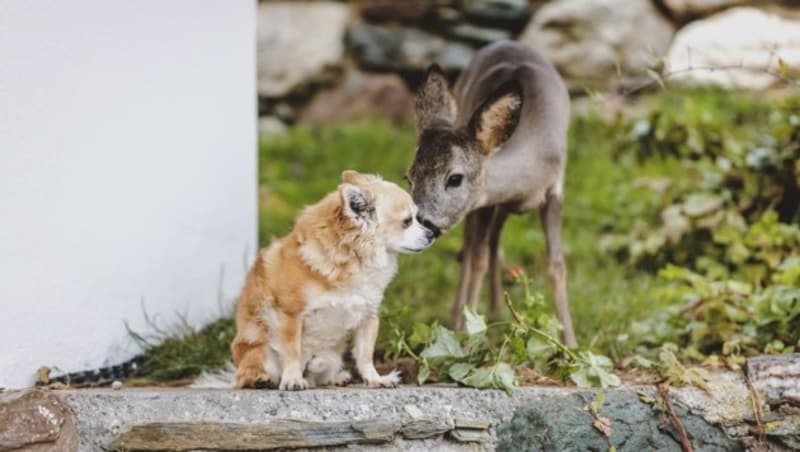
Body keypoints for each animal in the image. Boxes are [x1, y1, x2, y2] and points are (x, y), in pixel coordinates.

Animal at [231, 170, 434, 388]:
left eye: (417, 218)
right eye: (407, 221)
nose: (431, 233)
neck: (355, 262)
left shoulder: (368, 316)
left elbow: (365, 355)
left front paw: (375, 379)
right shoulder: (289, 315)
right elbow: (292, 351)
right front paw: (292, 379)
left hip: (332, 357)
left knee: (318, 373)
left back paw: (336, 377)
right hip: (259, 350)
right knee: (249, 373)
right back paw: (262, 380)